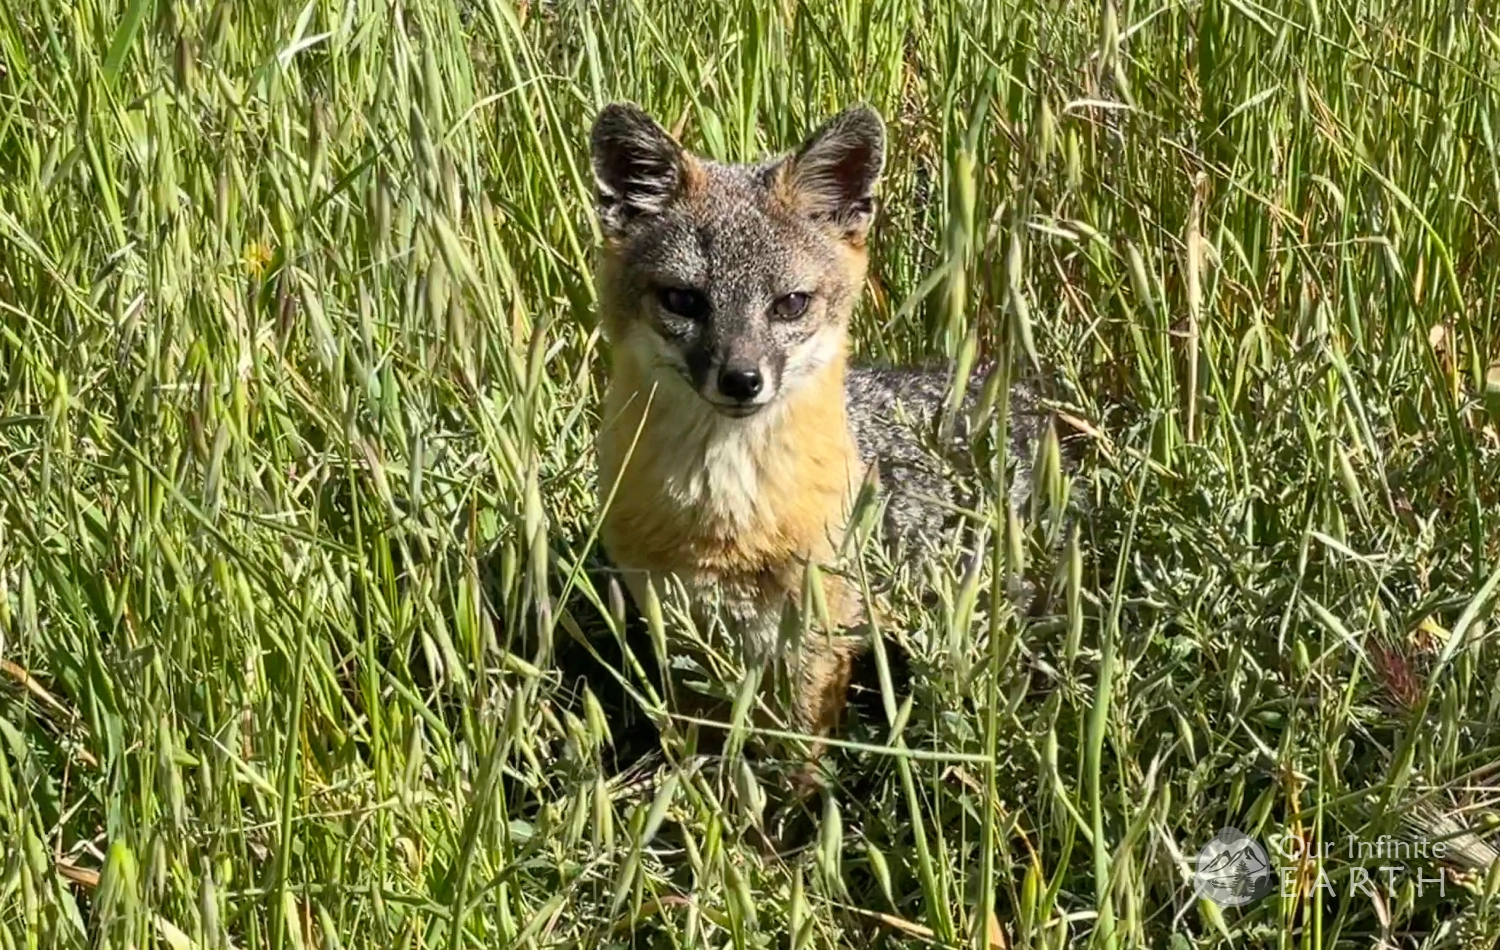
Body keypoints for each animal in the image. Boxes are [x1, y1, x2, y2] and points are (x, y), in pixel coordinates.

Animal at [587, 101, 1051, 772]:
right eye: (683, 300)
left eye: (790, 304)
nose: (742, 379)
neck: (725, 515)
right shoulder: (676, 619)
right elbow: (703, 734)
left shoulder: (818, 633)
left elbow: (798, 753)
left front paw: (785, 799)